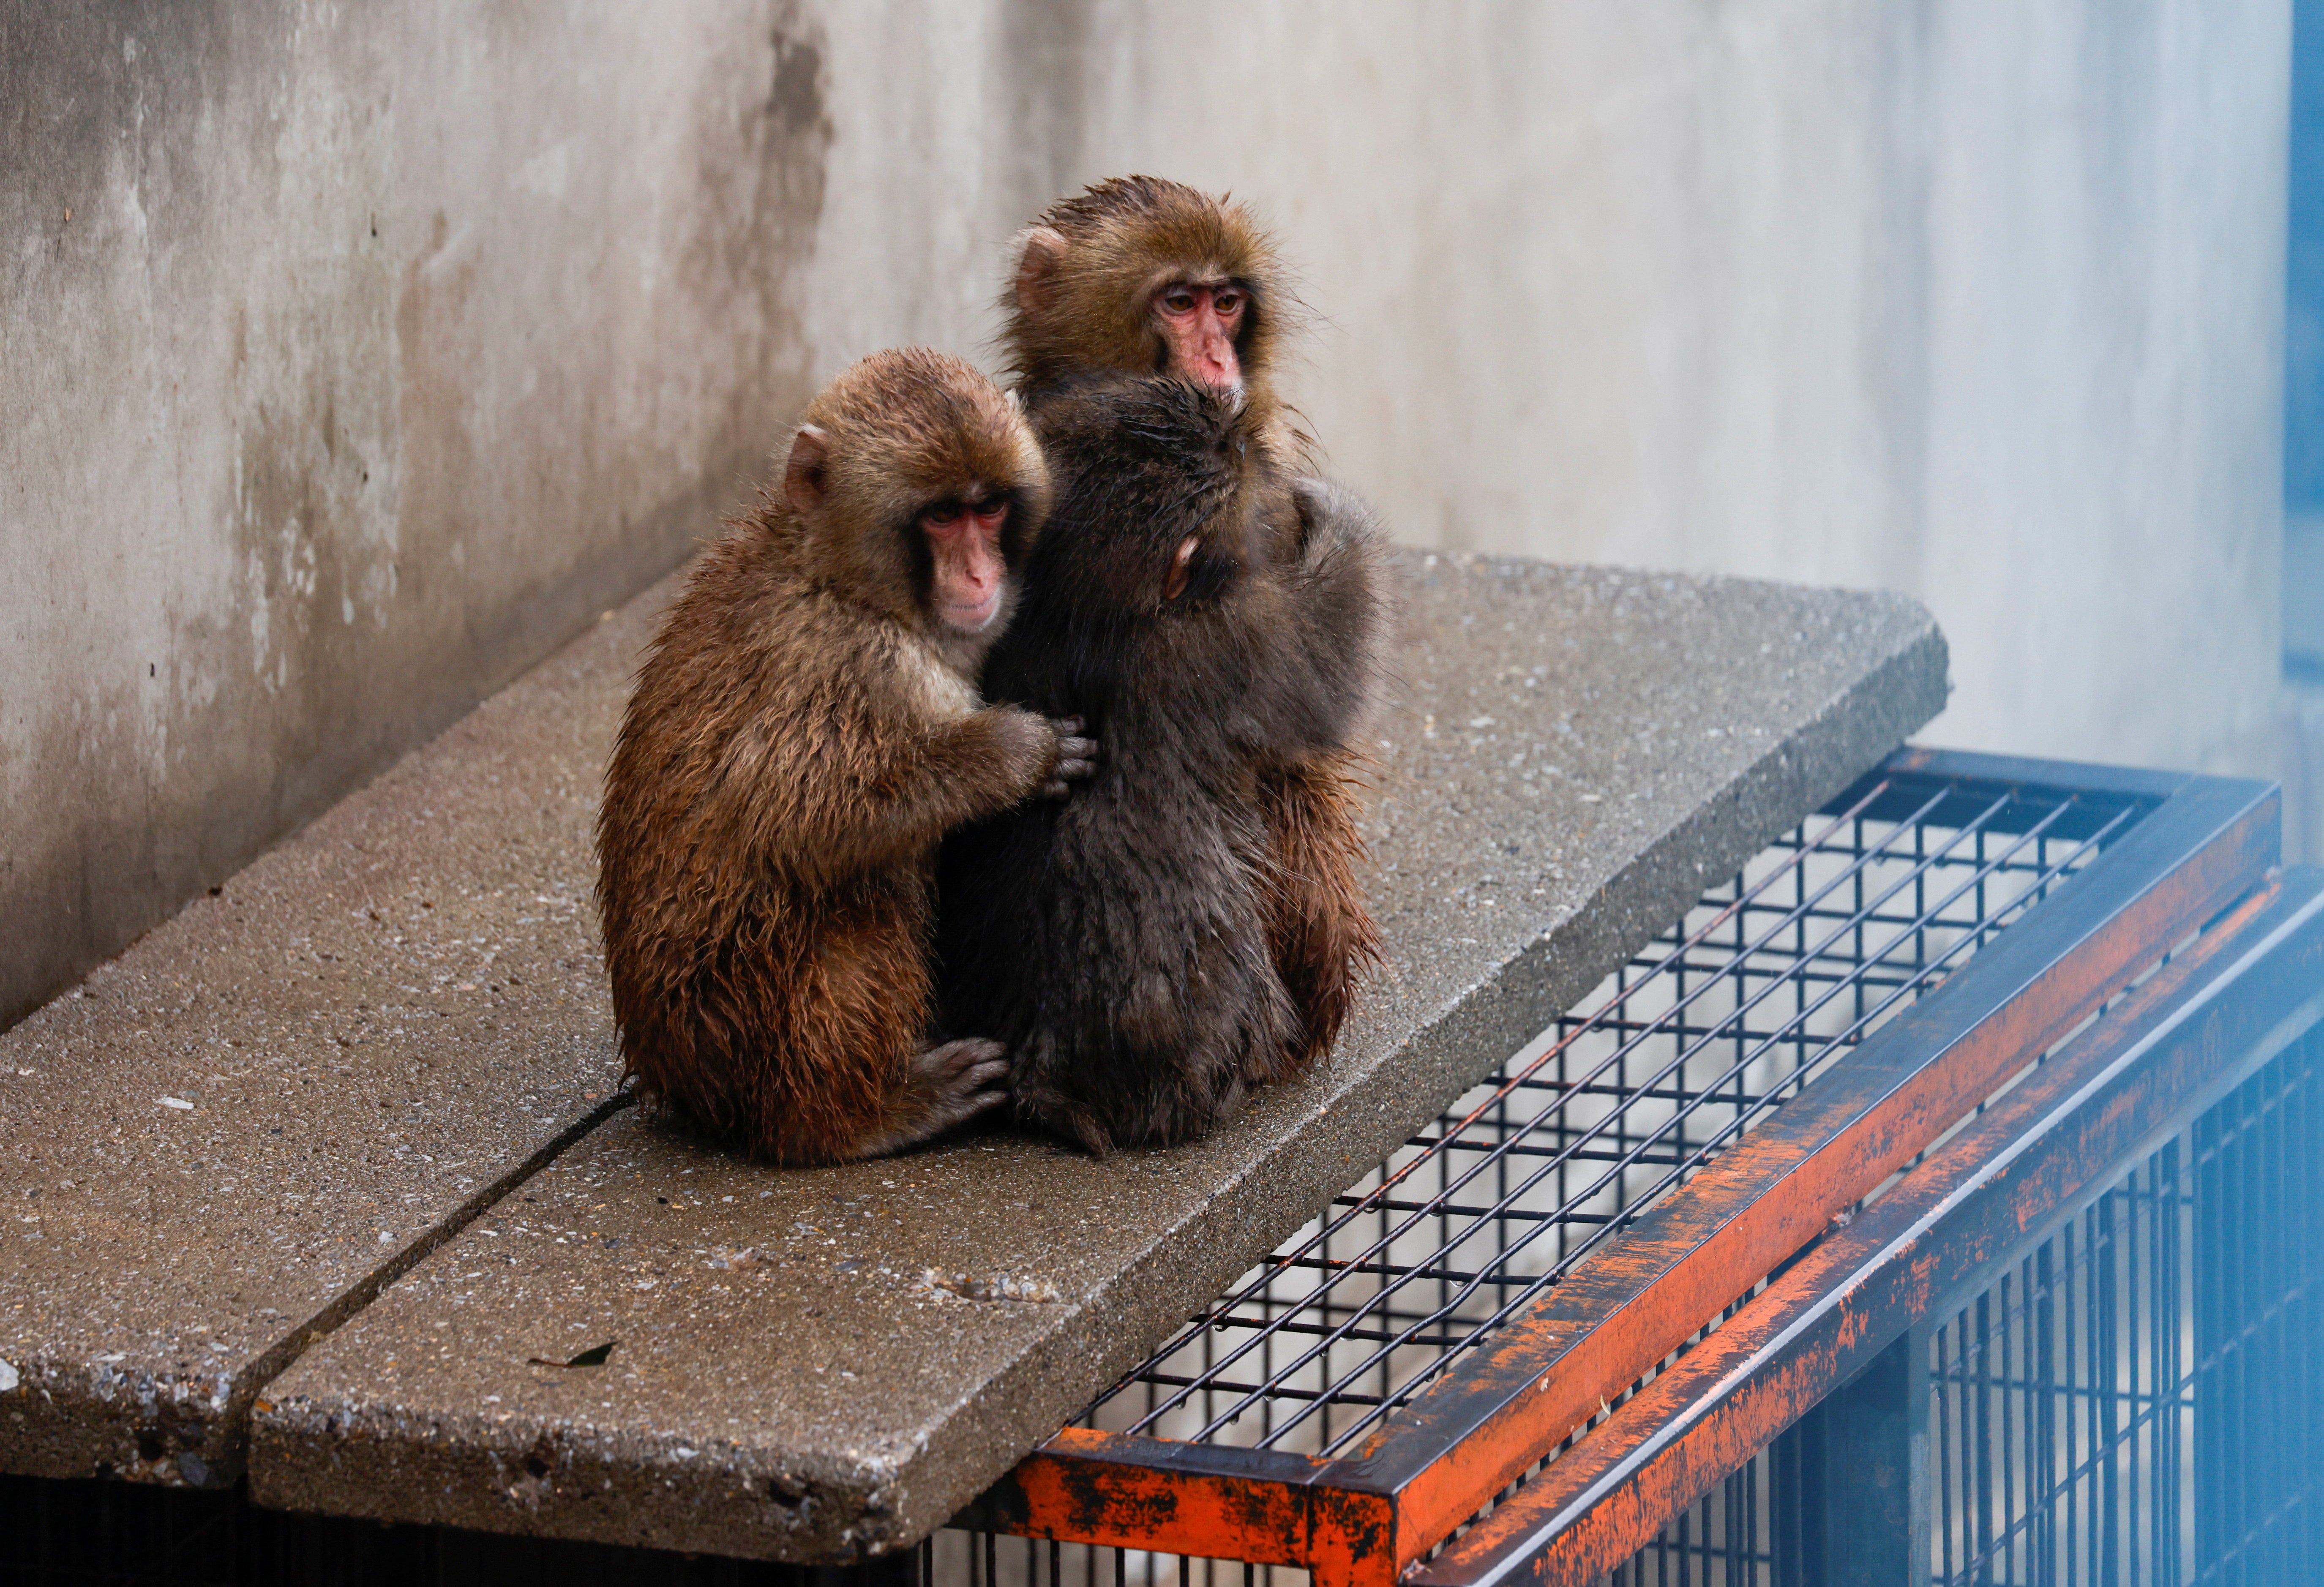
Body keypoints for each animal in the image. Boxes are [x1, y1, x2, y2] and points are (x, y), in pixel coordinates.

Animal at [595, 348, 1096, 1165]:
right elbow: (794, 819)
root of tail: (674, 1082)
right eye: (941, 516)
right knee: (863, 898)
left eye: (988, 509)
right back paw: (854, 1118)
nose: (980, 576)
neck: (841, 581)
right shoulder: (857, 666)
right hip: (741, 1032)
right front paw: (1016, 755)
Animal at [936, 371, 1383, 1153]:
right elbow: (1328, 661)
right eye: (1237, 456)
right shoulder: (1236, 636)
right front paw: (1330, 509)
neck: (1086, 614)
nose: (1244, 436)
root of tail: (1043, 1074)